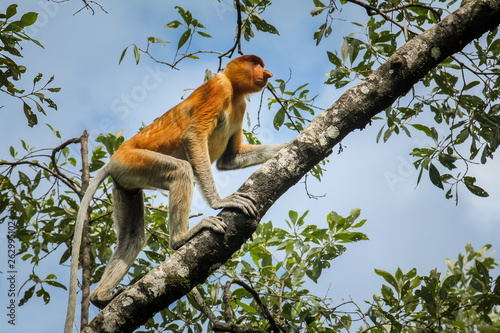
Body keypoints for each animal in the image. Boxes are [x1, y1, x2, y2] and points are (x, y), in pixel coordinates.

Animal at [64, 55, 288, 332]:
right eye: (256, 63)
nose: (267, 74)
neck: (235, 93)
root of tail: (114, 159)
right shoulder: (219, 89)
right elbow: (193, 136)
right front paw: (221, 201)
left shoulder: (241, 106)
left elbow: (230, 159)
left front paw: (291, 144)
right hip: (135, 161)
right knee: (181, 171)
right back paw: (181, 239)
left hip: (125, 180)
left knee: (133, 237)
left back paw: (100, 296)